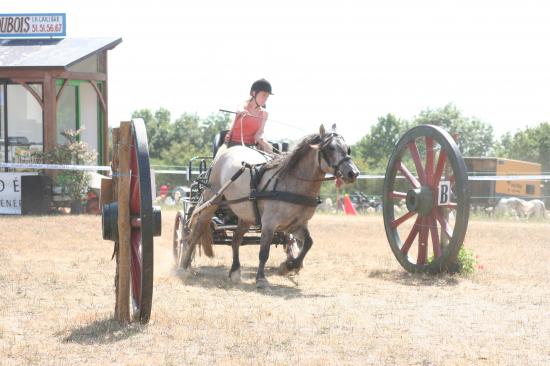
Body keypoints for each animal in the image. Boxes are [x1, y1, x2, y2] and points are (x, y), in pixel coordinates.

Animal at [181, 125, 360, 288]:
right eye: (330, 148)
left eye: (347, 148)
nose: (353, 173)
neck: (291, 183)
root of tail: (227, 152)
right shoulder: (269, 224)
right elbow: (264, 252)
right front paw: (261, 279)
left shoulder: (296, 225)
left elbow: (308, 243)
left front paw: (289, 266)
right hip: (211, 201)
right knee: (195, 233)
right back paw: (183, 266)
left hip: (245, 215)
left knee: (236, 240)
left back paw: (235, 271)